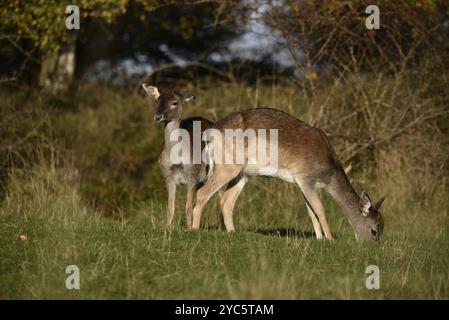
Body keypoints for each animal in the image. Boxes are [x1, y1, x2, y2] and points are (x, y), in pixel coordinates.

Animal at [144, 83, 214, 228]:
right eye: (157, 101)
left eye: (174, 103)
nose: (157, 116)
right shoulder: (168, 175)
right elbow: (170, 207)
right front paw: (167, 228)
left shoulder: (192, 175)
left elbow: (188, 206)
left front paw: (189, 228)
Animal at [191, 107, 384, 240]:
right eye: (374, 230)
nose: (373, 247)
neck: (329, 171)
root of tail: (209, 134)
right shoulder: (306, 178)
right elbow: (320, 209)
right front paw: (330, 239)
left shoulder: (302, 183)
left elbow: (311, 212)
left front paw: (319, 239)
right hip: (228, 166)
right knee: (202, 193)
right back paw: (194, 228)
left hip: (243, 173)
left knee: (226, 200)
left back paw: (233, 231)